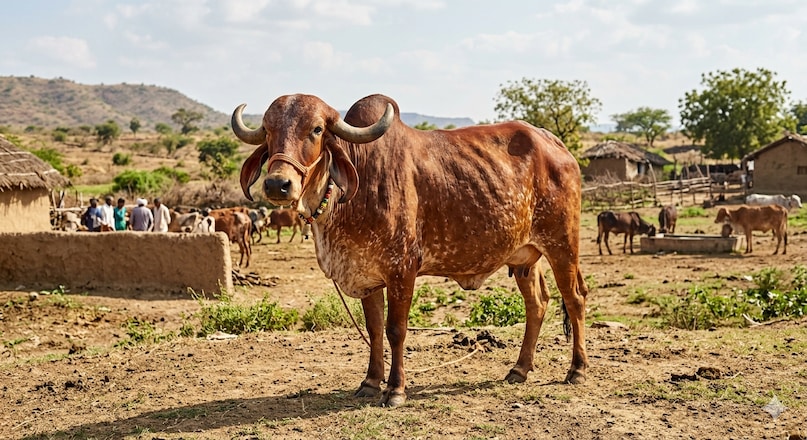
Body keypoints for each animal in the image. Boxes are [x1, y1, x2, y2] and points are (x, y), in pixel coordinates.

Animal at [233, 93, 588, 407]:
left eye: (317, 130)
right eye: (268, 130)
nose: (277, 185)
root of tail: (557, 145)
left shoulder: (401, 270)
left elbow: (396, 330)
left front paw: (395, 390)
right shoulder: (368, 275)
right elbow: (375, 330)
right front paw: (370, 383)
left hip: (563, 244)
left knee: (574, 299)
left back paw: (577, 369)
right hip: (525, 256)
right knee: (537, 304)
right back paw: (519, 369)